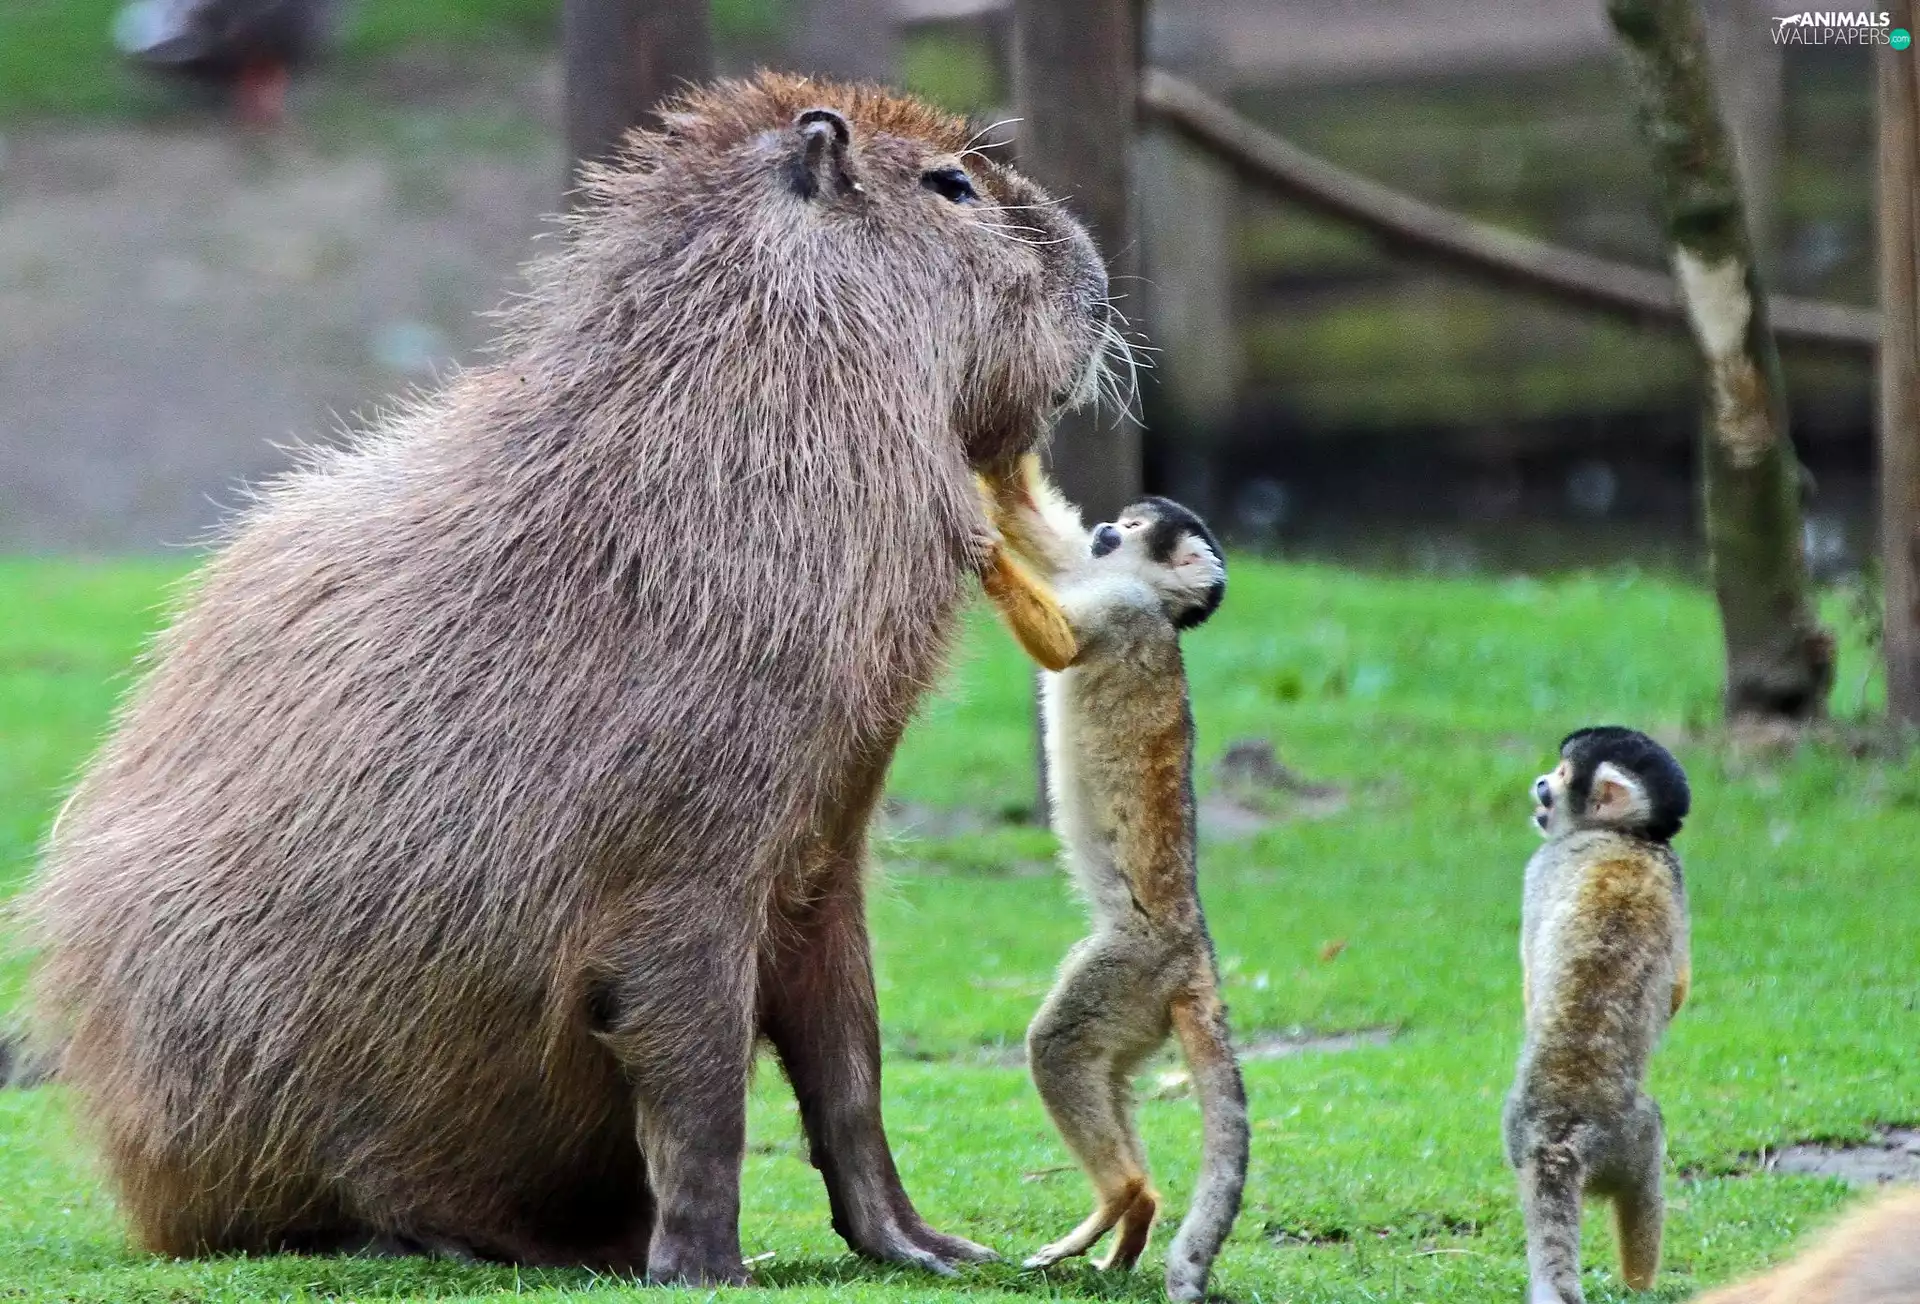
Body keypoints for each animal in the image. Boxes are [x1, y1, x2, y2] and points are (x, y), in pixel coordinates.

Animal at [23, 74, 1116, 1282]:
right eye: (953, 184)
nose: (1101, 289)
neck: (733, 423)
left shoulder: (827, 846)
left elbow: (850, 1061)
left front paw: (931, 1247)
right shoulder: (682, 863)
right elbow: (695, 1065)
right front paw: (706, 1267)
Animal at [981, 456, 1247, 1303]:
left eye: (1134, 531)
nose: (1107, 528)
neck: (1141, 591)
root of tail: (1196, 956)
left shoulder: (1125, 609)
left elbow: (1064, 645)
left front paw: (977, 551)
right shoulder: (1091, 573)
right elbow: (1032, 523)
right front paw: (987, 473)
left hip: (1130, 969)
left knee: (1058, 1046)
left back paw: (1121, 1195)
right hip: (1140, 1006)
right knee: (1097, 1065)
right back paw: (1137, 1212)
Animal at [1504, 725, 1692, 1304]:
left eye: (1560, 778)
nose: (1539, 782)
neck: (1626, 835)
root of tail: (1558, 1135)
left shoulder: (1539, 868)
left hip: (1610, 1139)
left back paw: (1640, 1284)